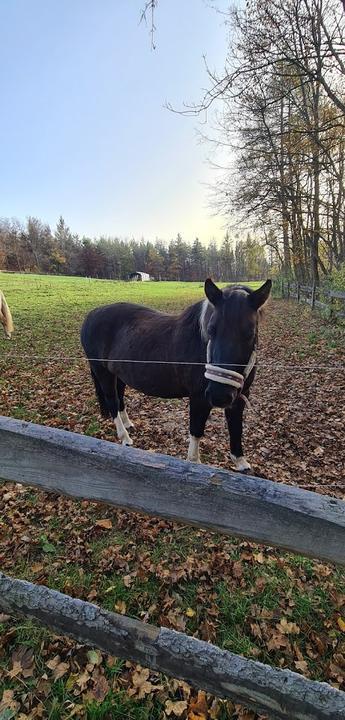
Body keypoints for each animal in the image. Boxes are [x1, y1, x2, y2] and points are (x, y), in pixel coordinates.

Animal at [81, 278, 272, 470]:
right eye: (211, 329)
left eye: (250, 332)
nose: (219, 395)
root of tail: (91, 315)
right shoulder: (199, 398)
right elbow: (196, 430)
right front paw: (194, 462)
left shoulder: (240, 397)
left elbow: (236, 427)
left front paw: (240, 462)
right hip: (102, 372)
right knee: (112, 401)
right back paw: (125, 437)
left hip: (119, 373)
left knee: (119, 397)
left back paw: (128, 424)